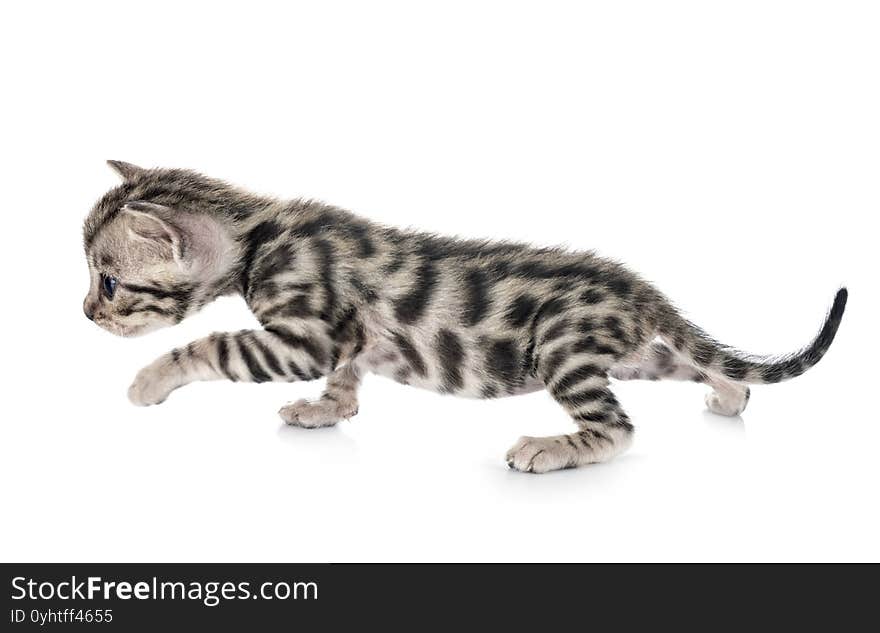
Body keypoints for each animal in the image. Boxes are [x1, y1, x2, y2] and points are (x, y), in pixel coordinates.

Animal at [81, 160, 844, 472]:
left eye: (110, 282)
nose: (86, 312)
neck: (260, 230)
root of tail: (635, 288)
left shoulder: (300, 337)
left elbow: (209, 345)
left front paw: (149, 380)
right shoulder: (343, 340)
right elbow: (346, 379)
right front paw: (328, 411)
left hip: (562, 350)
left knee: (619, 427)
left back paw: (553, 448)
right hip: (621, 352)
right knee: (695, 361)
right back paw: (729, 393)